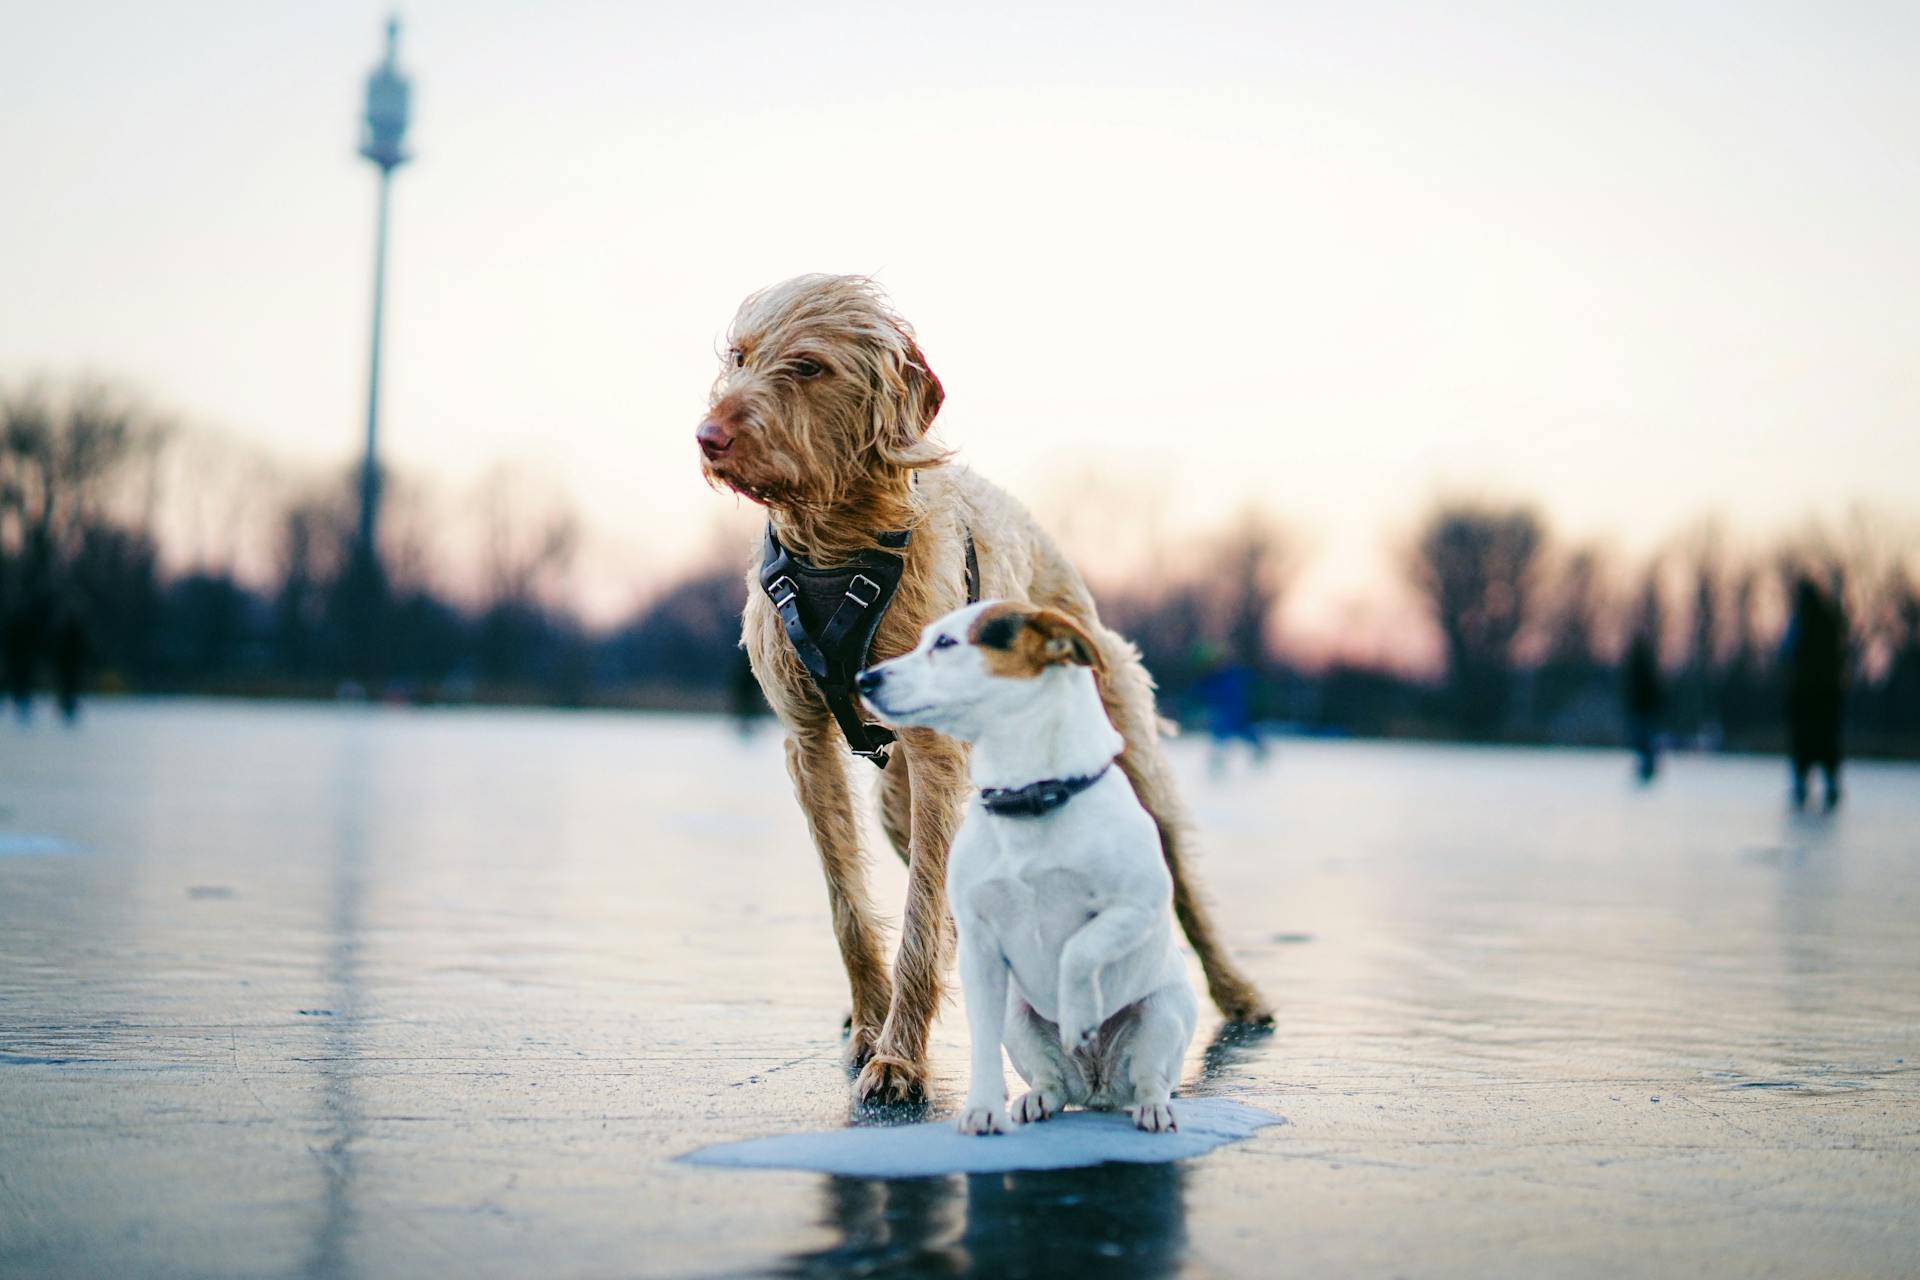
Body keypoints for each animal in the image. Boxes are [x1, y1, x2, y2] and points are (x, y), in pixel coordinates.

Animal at [860, 602, 1198, 1128]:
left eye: (946, 643)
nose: (864, 677)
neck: (1028, 797)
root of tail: (1098, 1089)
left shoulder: (1137, 907)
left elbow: (1079, 948)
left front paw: (1078, 1011)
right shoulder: (978, 946)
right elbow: (981, 1046)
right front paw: (981, 1109)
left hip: (1163, 1014)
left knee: (1151, 1078)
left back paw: (1153, 1107)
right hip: (1018, 1020)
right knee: (1051, 1081)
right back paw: (1036, 1099)